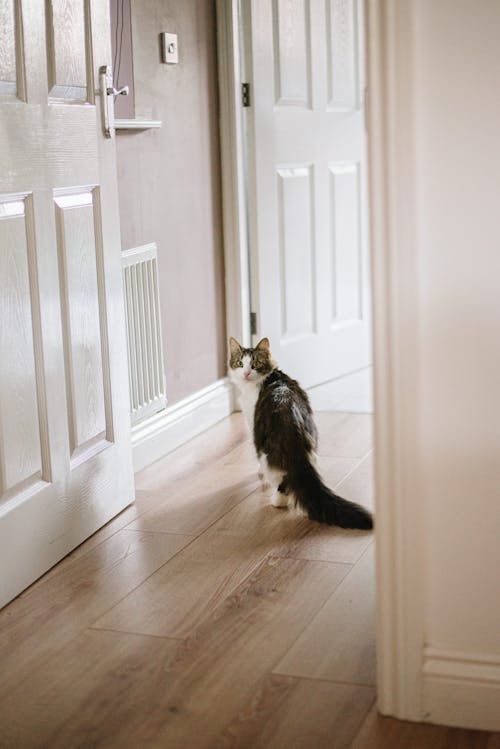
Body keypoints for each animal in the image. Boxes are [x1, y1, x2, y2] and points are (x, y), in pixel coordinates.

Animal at [229, 336, 374, 528]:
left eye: (255, 364)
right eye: (240, 363)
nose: (245, 374)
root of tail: (291, 419)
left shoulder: (252, 421)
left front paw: (259, 473)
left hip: (265, 449)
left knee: (283, 480)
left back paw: (277, 501)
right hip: (312, 443)